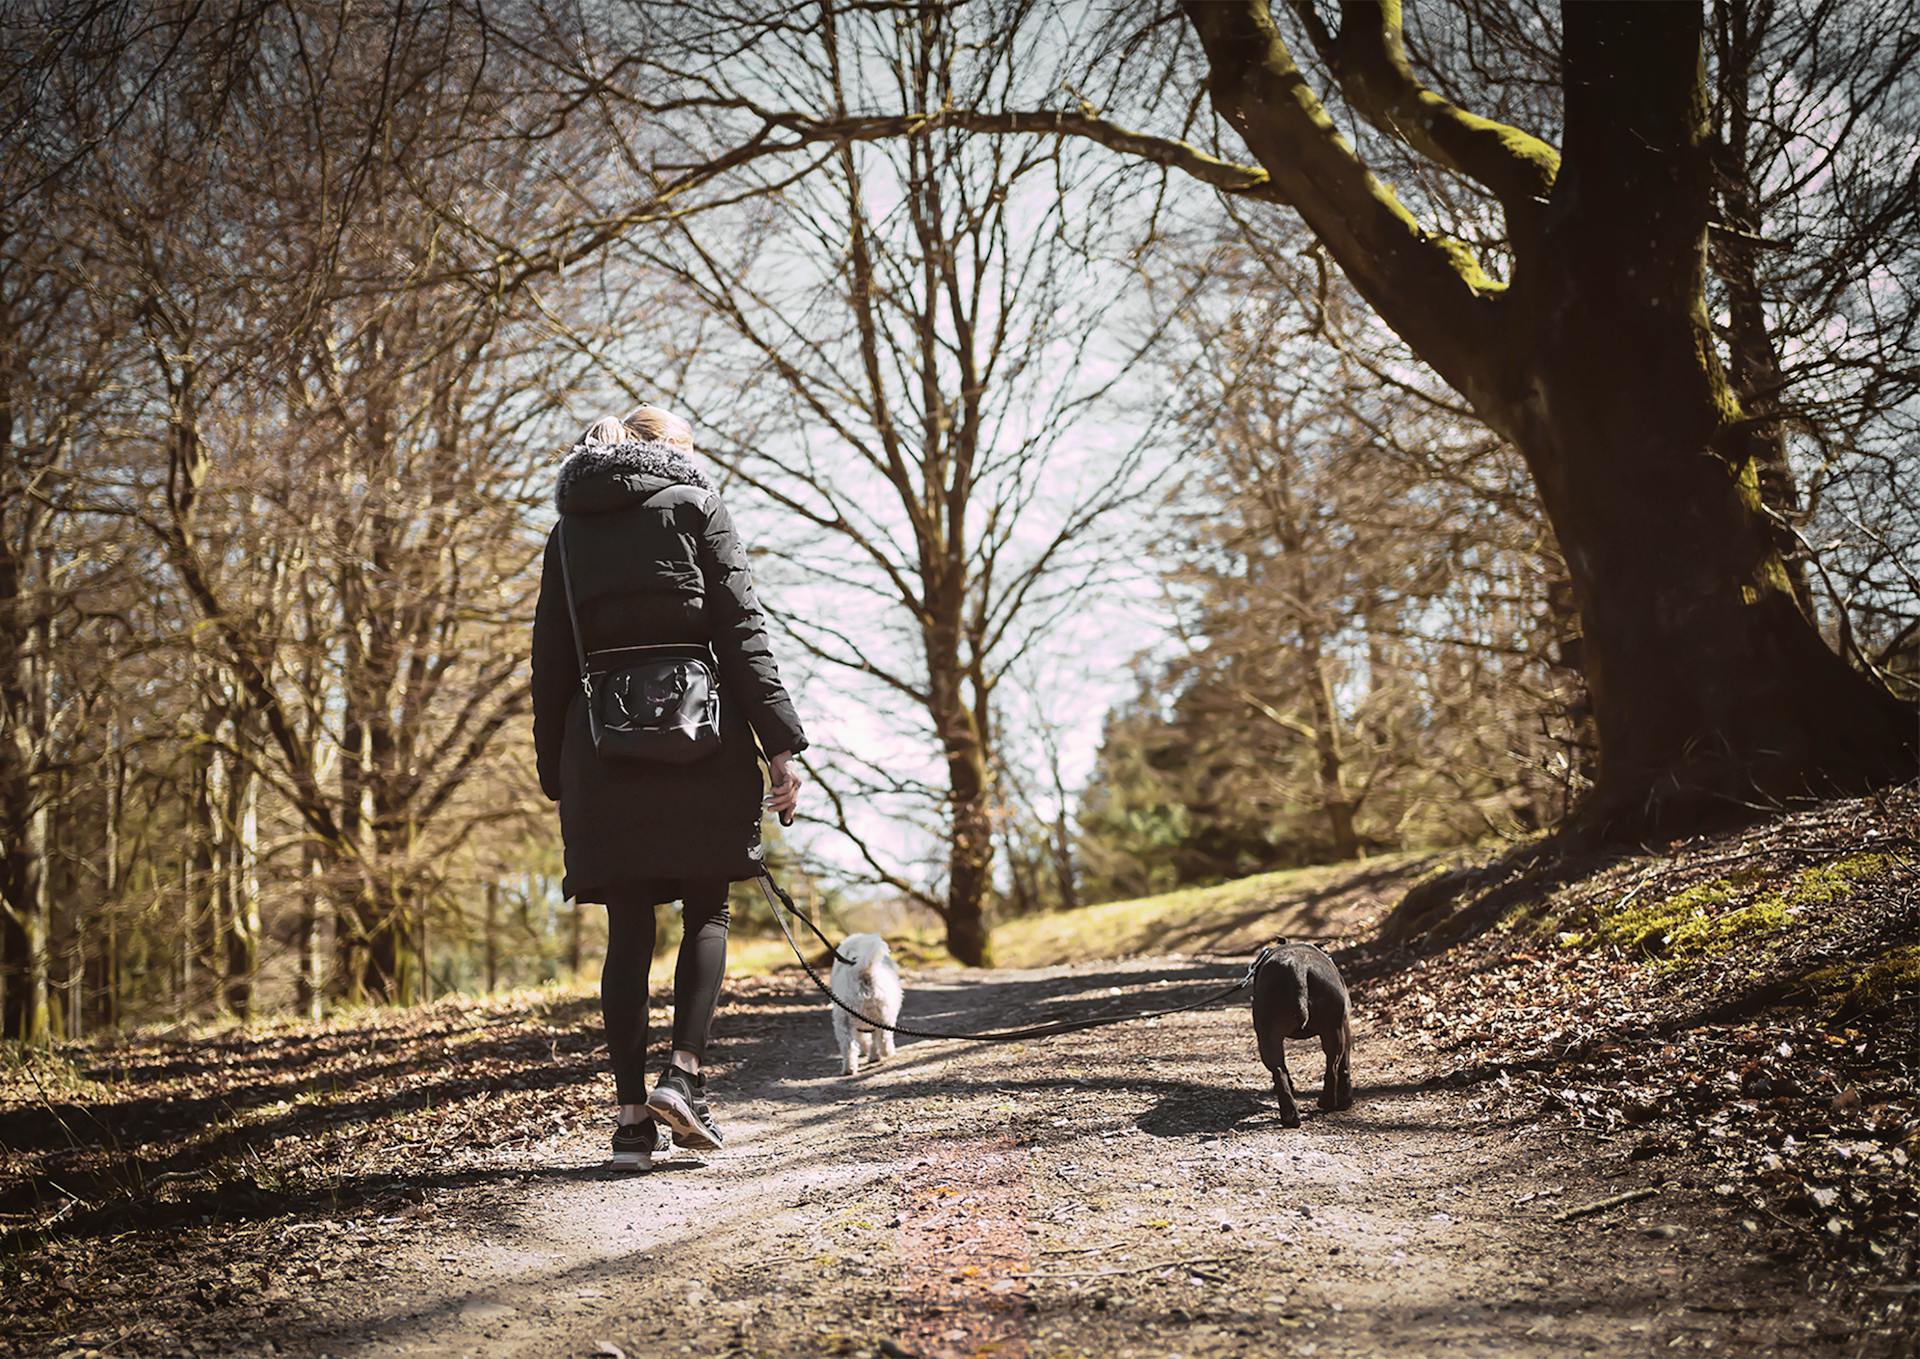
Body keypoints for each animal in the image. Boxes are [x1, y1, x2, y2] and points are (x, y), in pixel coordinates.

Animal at [829, 929, 902, 1074]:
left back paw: (849, 1069)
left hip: (844, 1021)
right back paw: (887, 1053)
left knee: (849, 1046)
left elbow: (867, 1040)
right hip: (883, 1016)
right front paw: (874, 1056)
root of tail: (864, 971)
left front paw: (872, 1055)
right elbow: (872, 1040)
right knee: (884, 1037)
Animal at [1251, 940, 1359, 1128]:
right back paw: (1325, 1103)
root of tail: (1298, 967)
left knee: (1280, 1071)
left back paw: (1291, 1114)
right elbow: (1345, 1064)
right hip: (1332, 1031)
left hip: (1269, 1038)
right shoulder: (1345, 1025)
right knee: (1332, 1066)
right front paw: (1346, 1099)